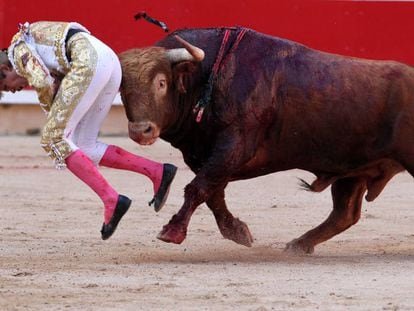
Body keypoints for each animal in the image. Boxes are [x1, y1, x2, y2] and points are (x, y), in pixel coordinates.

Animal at [118, 28, 412, 255]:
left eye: (161, 83)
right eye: (122, 88)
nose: (141, 130)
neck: (206, 78)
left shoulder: (233, 146)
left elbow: (198, 188)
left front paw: (173, 230)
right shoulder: (206, 156)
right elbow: (213, 193)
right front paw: (237, 231)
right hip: (352, 171)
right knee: (344, 214)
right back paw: (298, 245)